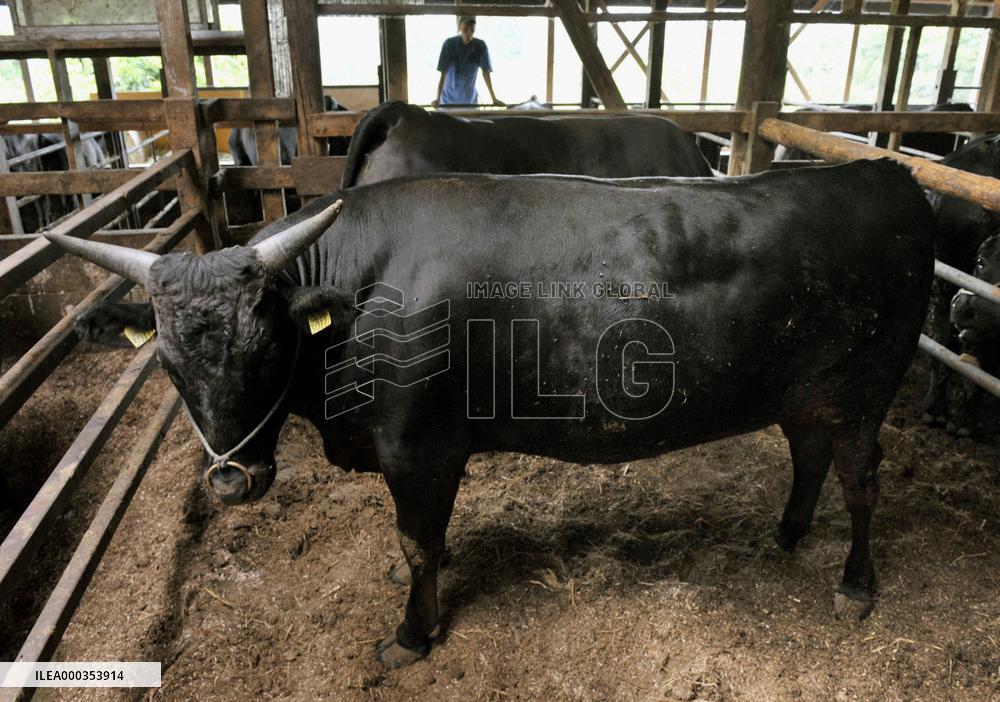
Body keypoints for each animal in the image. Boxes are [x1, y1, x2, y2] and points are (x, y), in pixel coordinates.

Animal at [46, 159, 934, 668]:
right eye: (166, 363)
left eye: (265, 347)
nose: (231, 481)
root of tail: (882, 171)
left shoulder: (419, 446)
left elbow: (417, 541)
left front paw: (412, 637)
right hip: (807, 394)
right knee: (808, 456)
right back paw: (786, 534)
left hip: (864, 392)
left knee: (861, 483)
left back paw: (855, 584)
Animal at [921, 134, 1000, 434]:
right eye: (980, 260)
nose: (968, 307)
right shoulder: (941, 285)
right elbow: (940, 345)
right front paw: (935, 409)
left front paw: (967, 417)